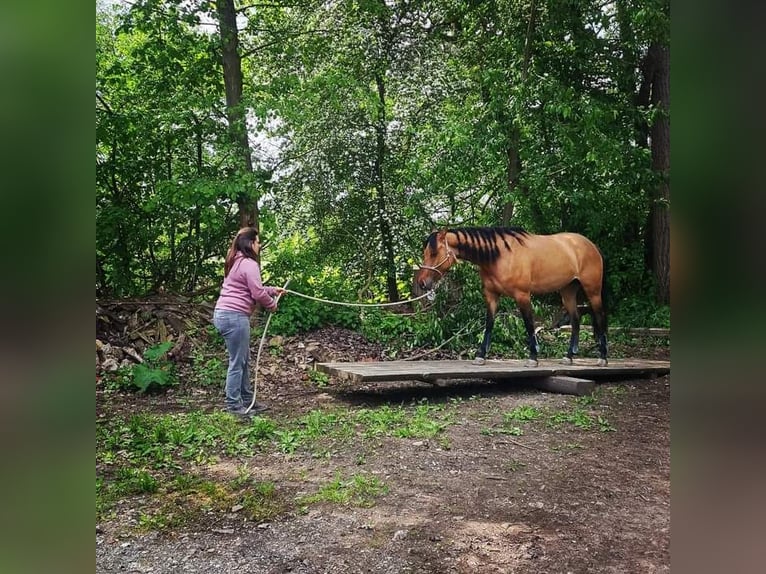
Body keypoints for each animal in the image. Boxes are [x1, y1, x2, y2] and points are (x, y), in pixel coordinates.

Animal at [414, 227, 608, 367]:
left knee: (599, 317)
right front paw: (481, 355)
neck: (499, 255)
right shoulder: (491, 296)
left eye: (433, 253)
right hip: (567, 292)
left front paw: (533, 357)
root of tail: (590, 245)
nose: (422, 283)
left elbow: (529, 324)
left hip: (593, 291)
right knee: (575, 320)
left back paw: (603, 357)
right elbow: (489, 324)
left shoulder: (522, 296)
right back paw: (569, 357)